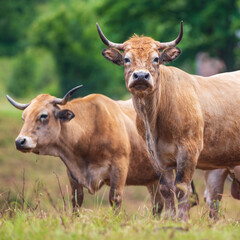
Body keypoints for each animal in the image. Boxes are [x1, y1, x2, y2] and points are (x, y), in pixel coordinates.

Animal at [7, 86, 169, 216]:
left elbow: (115, 199)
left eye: (43, 115)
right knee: (158, 205)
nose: (20, 141)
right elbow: (76, 201)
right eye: (23, 117)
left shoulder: (119, 167)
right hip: (153, 179)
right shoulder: (72, 172)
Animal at [96, 21, 240, 220]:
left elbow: (181, 189)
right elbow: (166, 190)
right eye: (126, 59)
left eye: (156, 58)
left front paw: (182, 220)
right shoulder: (157, 157)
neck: (155, 119)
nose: (141, 76)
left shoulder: (189, 151)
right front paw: (170, 219)